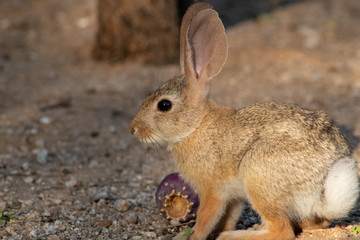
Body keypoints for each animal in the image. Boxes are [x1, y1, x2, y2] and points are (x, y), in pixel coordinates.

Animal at [129, 1, 358, 240]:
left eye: (164, 105)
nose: (133, 129)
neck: (196, 126)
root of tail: (322, 189)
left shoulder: (212, 190)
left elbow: (206, 218)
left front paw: (193, 236)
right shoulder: (234, 196)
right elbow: (229, 216)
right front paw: (220, 229)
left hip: (257, 174)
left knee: (282, 230)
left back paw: (235, 236)